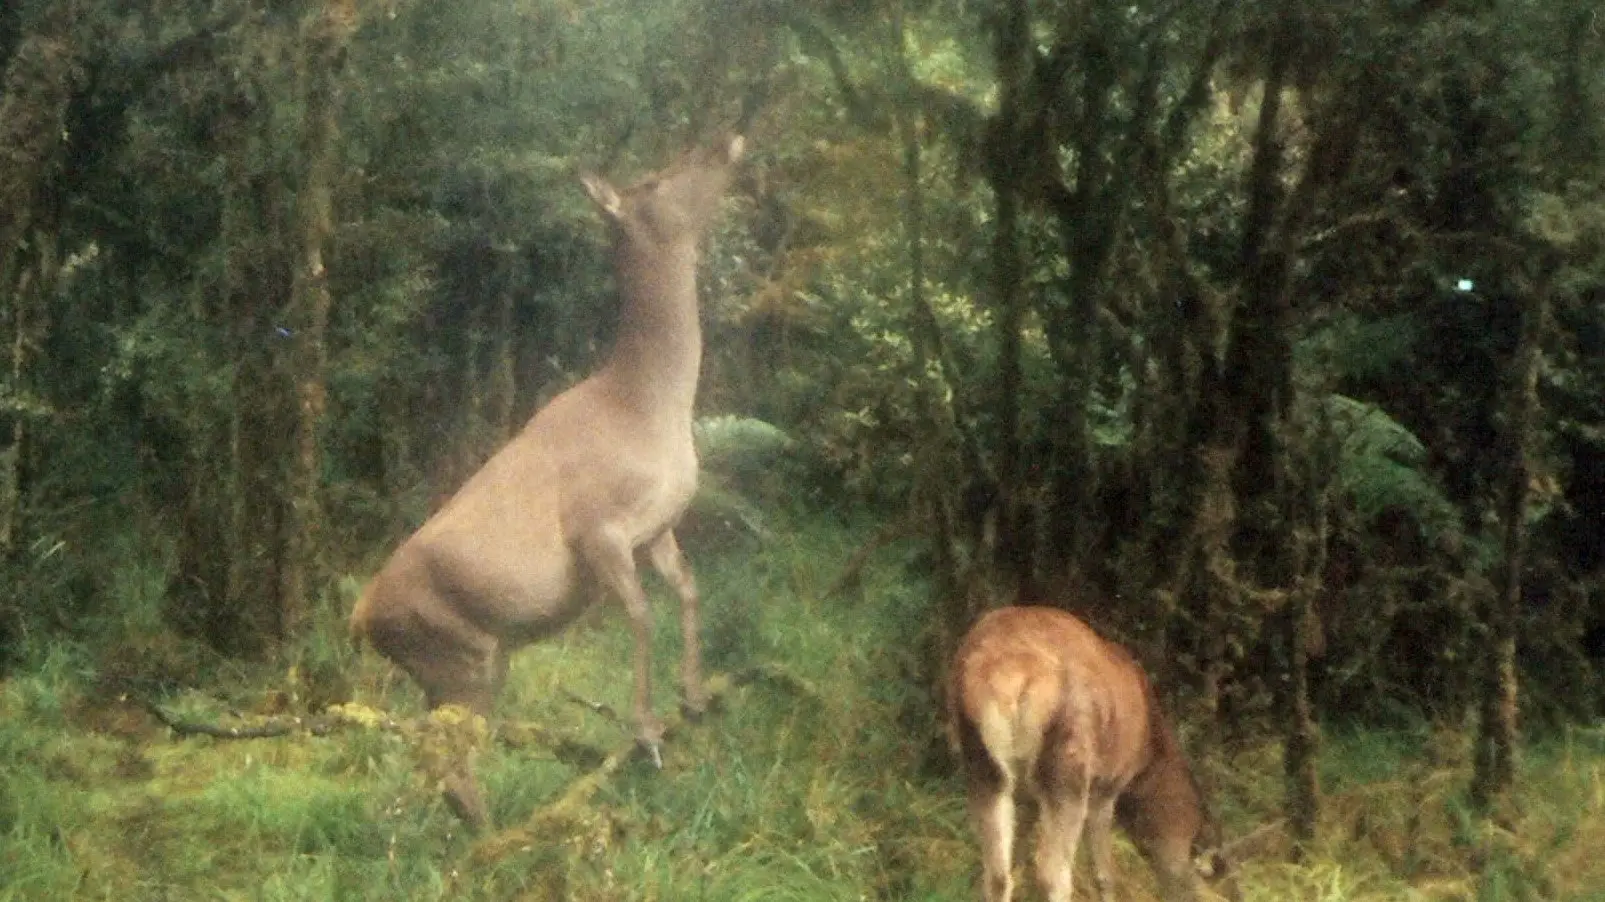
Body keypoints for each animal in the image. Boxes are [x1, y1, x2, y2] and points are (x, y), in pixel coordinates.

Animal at [349, 133, 746, 830]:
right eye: (654, 180)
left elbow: (688, 591)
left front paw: (694, 696)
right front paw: (646, 730)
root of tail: (359, 617)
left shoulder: (658, 525)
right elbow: (641, 613)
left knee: (440, 759)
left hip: (464, 665)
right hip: (457, 658)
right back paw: (499, 837)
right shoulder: (597, 525)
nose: (725, 138)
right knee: (451, 760)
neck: (650, 407)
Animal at [950, 605, 1236, 902]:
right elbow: (1105, 875)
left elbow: (1016, 856)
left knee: (996, 875)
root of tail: (1014, 674)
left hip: (981, 763)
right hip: (1068, 768)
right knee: (1053, 873)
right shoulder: (1107, 786)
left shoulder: (1027, 799)